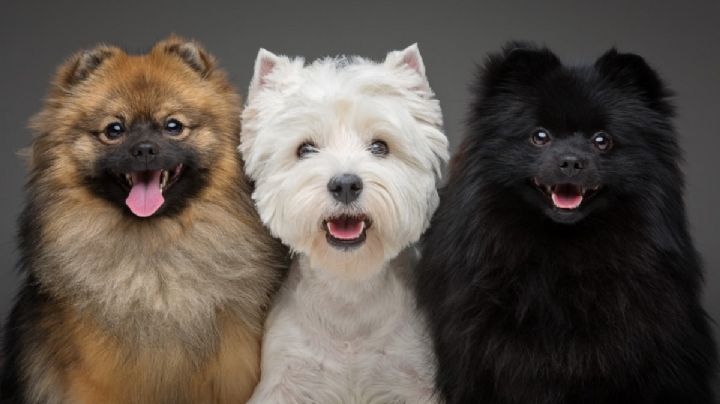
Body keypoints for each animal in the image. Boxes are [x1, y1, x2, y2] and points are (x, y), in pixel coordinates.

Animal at [0, 36, 286, 402]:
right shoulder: (97, 380)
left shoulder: (231, 373)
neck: (155, 263)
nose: (146, 149)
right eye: (114, 129)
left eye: (173, 126)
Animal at [239, 45, 448, 404]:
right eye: (305, 149)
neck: (348, 295)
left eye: (380, 146)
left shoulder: (415, 379)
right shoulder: (285, 380)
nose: (346, 184)